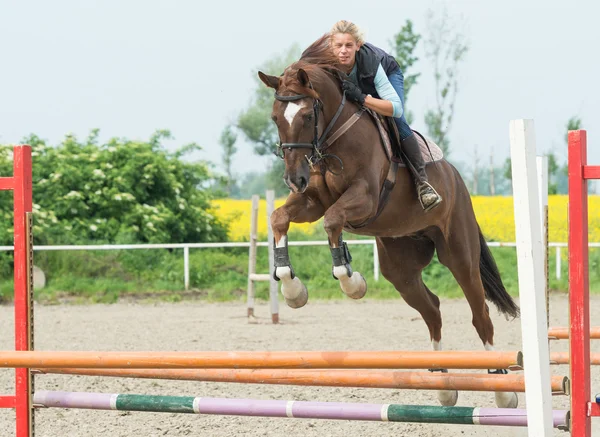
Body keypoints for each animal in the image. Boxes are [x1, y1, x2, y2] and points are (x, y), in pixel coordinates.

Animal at [258, 35, 520, 408]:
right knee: (432, 309)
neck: (334, 137)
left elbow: (333, 222)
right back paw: (443, 384)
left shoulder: (363, 198)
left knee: (479, 313)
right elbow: (280, 217)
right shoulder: (312, 201)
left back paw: (501, 389)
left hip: (459, 254)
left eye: (307, 115)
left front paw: (351, 282)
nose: (294, 179)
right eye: (275, 117)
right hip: (401, 267)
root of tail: (458, 180)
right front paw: (293, 289)